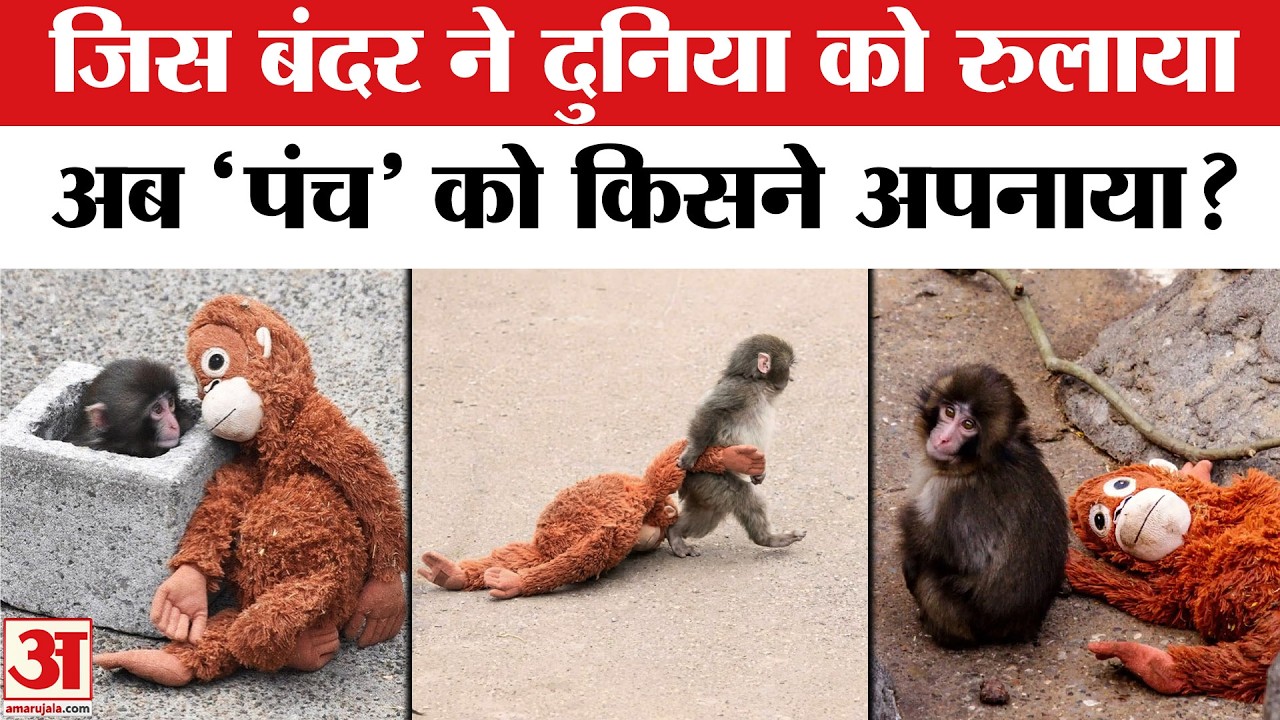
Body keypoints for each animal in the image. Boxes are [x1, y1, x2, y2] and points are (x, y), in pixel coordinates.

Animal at [666, 333, 807, 558]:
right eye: (789, 366)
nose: (791, 378)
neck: (757, 384)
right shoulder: (738, 391)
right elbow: (710, 410)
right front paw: (692, 452)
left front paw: (760, 473)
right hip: (707, 478)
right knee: (744, 496)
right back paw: (769, 539)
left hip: (704, 490)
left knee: (706, 515)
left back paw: (675, 531)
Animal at [898, 363, 1069, 647]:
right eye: (949, 411)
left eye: (968, 425)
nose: (943, 439)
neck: (981, 463)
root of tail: (1024, 626)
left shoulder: (948, 494)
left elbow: (960, 558)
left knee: (929, 578)